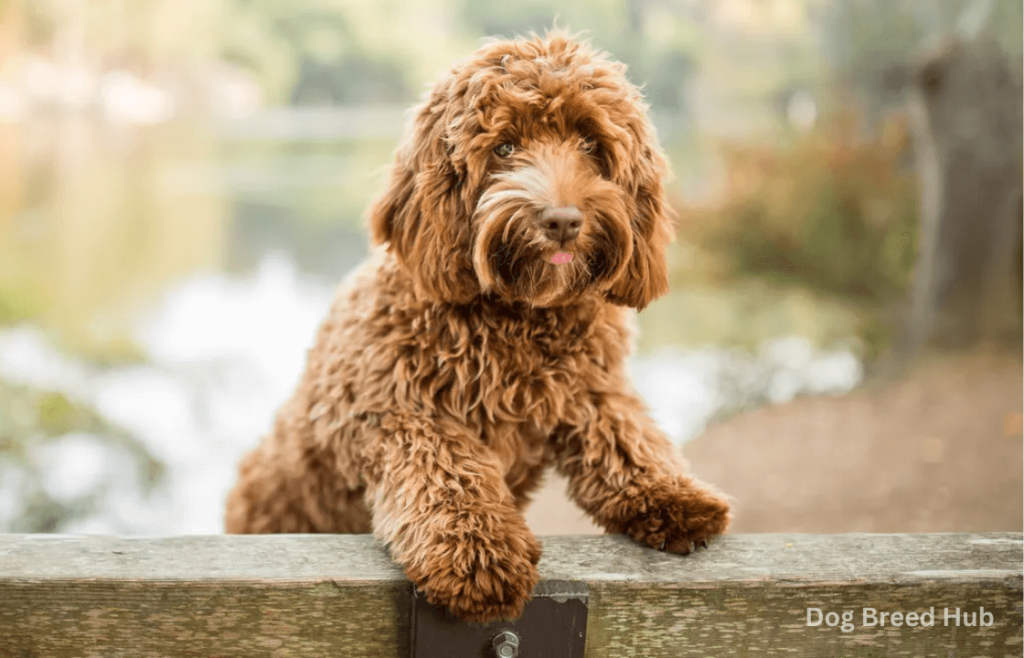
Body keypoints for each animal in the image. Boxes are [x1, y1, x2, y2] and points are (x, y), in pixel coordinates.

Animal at [228, 30, 733, 626]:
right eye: (505, 148)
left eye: (590, 144)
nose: (563, 221)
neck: (519, 318)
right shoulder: (391, 410)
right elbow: (448, 468)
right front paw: (478, 554)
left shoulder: (591, 387)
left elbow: (625, 432)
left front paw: (673, 493)